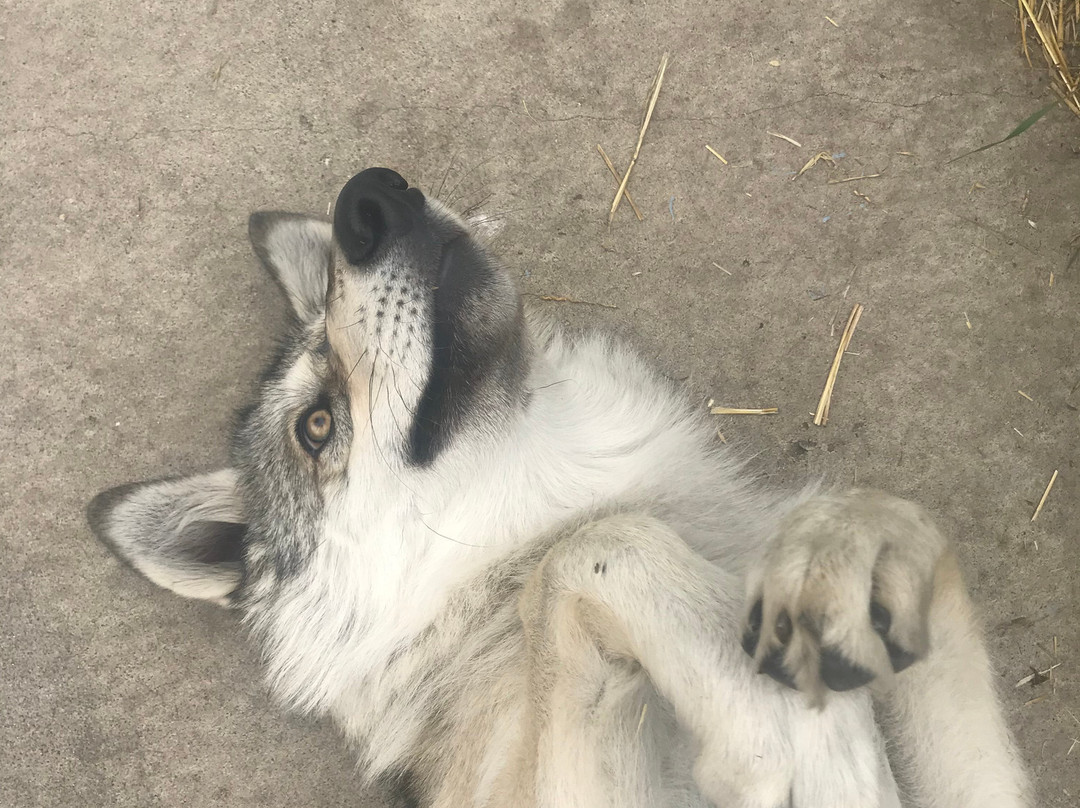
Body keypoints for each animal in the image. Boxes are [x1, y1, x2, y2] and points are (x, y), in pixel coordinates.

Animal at [88, 167, 1030, 807]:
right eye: (315, 426)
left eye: (327, 297)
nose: (371, 197)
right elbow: (595, 549)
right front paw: (786, 736)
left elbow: (900, 517)